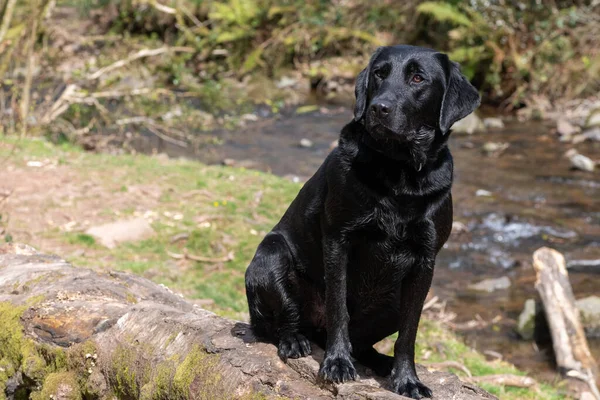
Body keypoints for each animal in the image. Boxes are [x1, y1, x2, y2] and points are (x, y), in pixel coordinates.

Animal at [244, 45, 478, 398]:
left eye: (418, 78)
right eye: (379, 73)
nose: (378, 108)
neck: (400, 171)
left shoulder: (425, 261)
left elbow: (409, 332)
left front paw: (407, 379)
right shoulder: (338, 240)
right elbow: (338, 307)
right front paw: (337, 363)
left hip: (393, 300)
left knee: (366, 342)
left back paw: (380, 362)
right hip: (270, 257)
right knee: (281, 320)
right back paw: (294, 339)